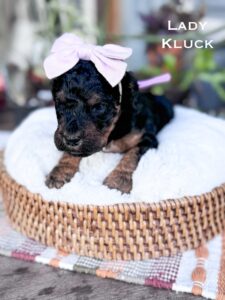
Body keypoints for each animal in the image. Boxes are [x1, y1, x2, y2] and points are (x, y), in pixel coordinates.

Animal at [44, 59, 173, 193]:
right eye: (59, 102)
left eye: (99, 106)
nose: (71, 140)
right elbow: (70, 152)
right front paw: (60, 172)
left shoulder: (146, 137)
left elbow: (132, 154)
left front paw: (118, 180)